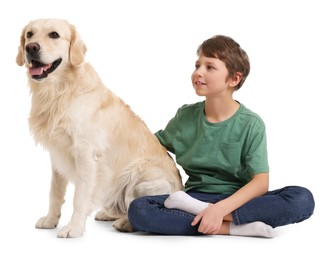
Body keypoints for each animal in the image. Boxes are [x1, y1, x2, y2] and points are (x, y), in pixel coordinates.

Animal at [16, 18, 183, 238]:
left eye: (54, 35)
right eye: (29, 34)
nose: (31, 48)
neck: (60, 91)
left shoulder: (85, 153)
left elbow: (80, 197)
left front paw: (74, 228)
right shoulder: (57, 153)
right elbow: (55, 192)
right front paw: (51, 220)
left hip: (138, 173)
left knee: (140, 209)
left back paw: (125, 223)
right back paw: (108, 214)